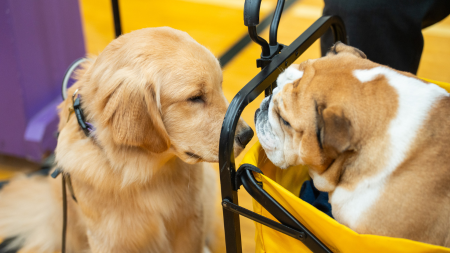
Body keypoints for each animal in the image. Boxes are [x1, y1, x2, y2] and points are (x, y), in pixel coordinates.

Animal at [0, 26, 253, 252]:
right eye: (195, 97)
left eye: (220, 86)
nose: (247, 135)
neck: (143, 172)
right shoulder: (109, 239)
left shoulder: (190, 222)